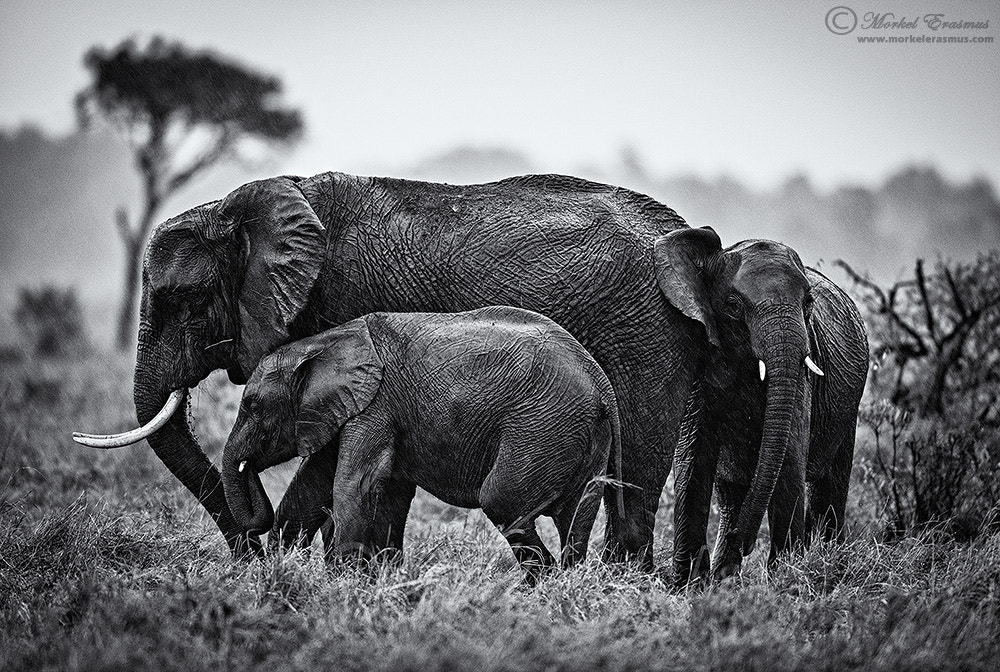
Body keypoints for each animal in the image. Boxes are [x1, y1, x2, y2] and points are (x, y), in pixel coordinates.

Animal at [223, 306, 620, 584]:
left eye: (253, 406)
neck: (323, 342)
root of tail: (602, 384)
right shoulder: (347, 410)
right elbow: (316, 487)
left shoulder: (375, 406)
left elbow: (353, 485)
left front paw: (343, 584)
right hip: (581, 436)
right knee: (575, 519)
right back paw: (564, 584)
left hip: (542, 426)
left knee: (501, 499)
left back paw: (535, 586)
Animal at [656, 227, 868, 584]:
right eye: (732, 305)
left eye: (808, 303)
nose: (743, 541)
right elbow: (693, 459)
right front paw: (690, 585)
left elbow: (789, 461)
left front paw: (785, 581)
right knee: (731, 492)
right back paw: (725, 578)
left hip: (849, 404)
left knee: (831, 484)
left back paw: (829, 563)